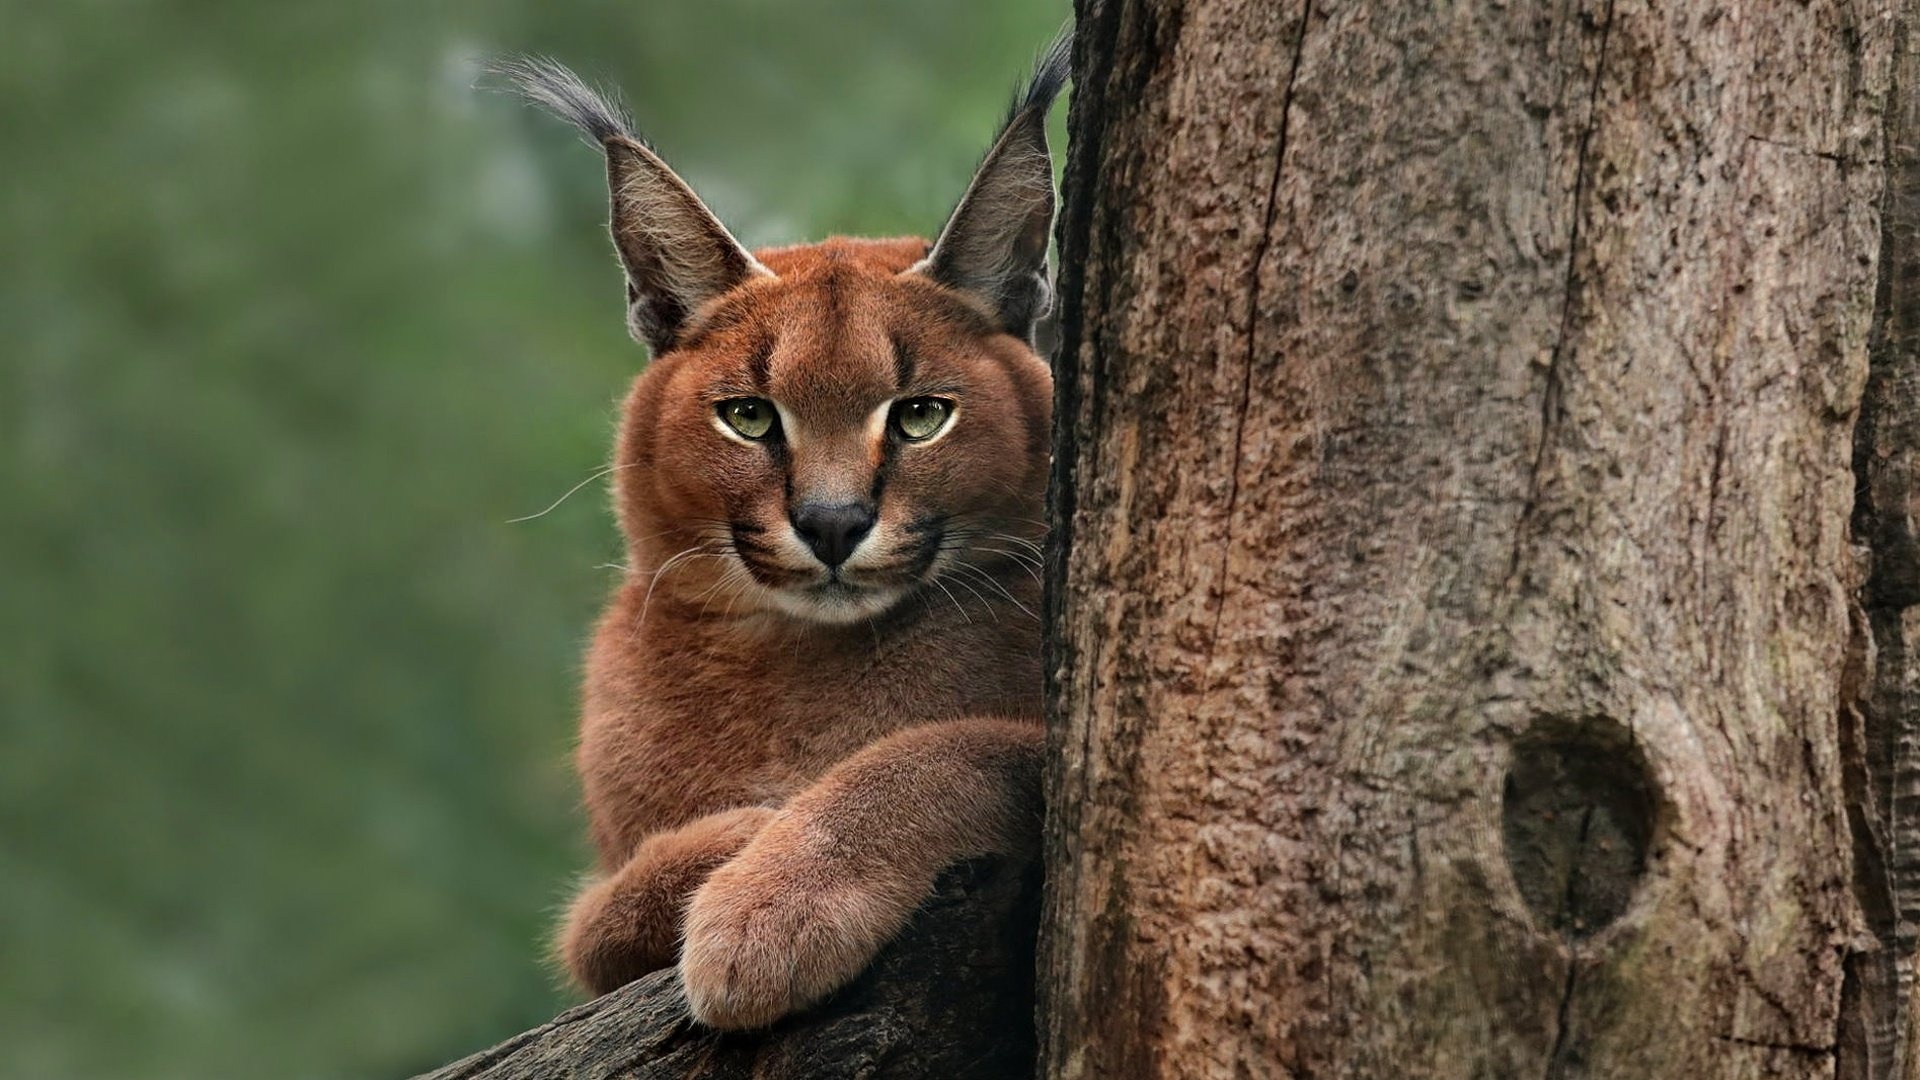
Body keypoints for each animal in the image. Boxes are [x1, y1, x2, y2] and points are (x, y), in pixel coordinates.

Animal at [491, 35, 1067, 1022]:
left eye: (921, 416)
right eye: (750, 418)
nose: (832, 523)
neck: (796, 659)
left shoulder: (1053, 750)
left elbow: (937, 749)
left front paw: (771, 904)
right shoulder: (594, 921)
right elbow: (595, 921)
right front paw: (741, 839)